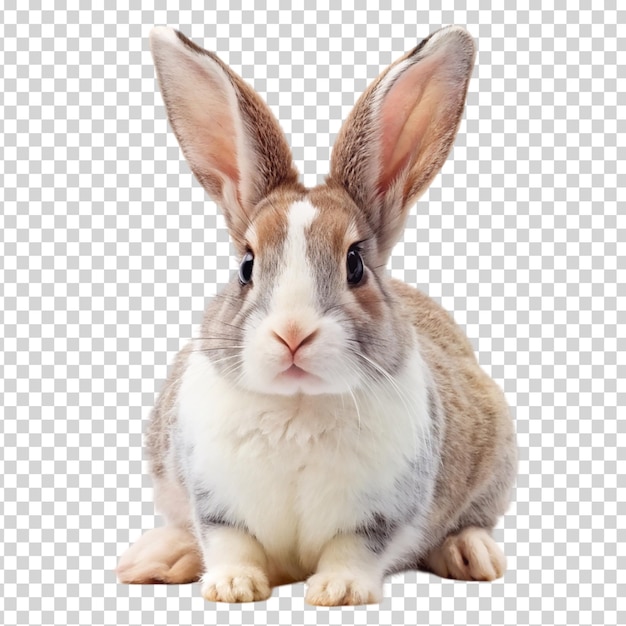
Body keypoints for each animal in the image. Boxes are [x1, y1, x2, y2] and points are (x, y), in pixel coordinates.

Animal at [114, 25, 516, 604]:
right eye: (246, 265)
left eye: (355, 264)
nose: (292, 334)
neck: (298, 405)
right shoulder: (213, 500)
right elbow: (229, 542)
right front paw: (233, 588)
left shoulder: (381, 514)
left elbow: (354, 550)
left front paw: (338, 592)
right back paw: (158, 556)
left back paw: (471, 553)